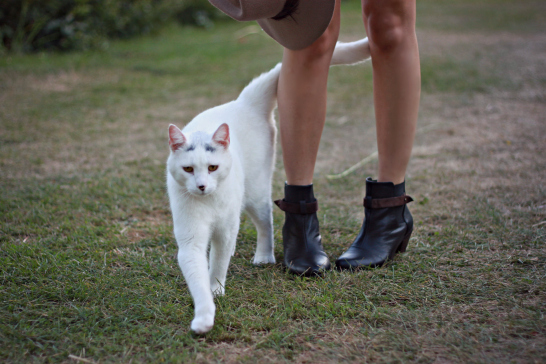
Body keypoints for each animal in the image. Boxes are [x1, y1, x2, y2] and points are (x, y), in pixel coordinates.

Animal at [166, 37, 370, 332]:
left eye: (212, 168)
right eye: (189, 169)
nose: (202, 186)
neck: (208, 203)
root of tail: (244, 101)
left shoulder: (225, 230)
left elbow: (217, 265)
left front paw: (217, 290)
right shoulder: (191, 238)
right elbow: (198, 276)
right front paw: (204, 316)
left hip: (255, 195)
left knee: (266, 224)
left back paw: (263, 257)